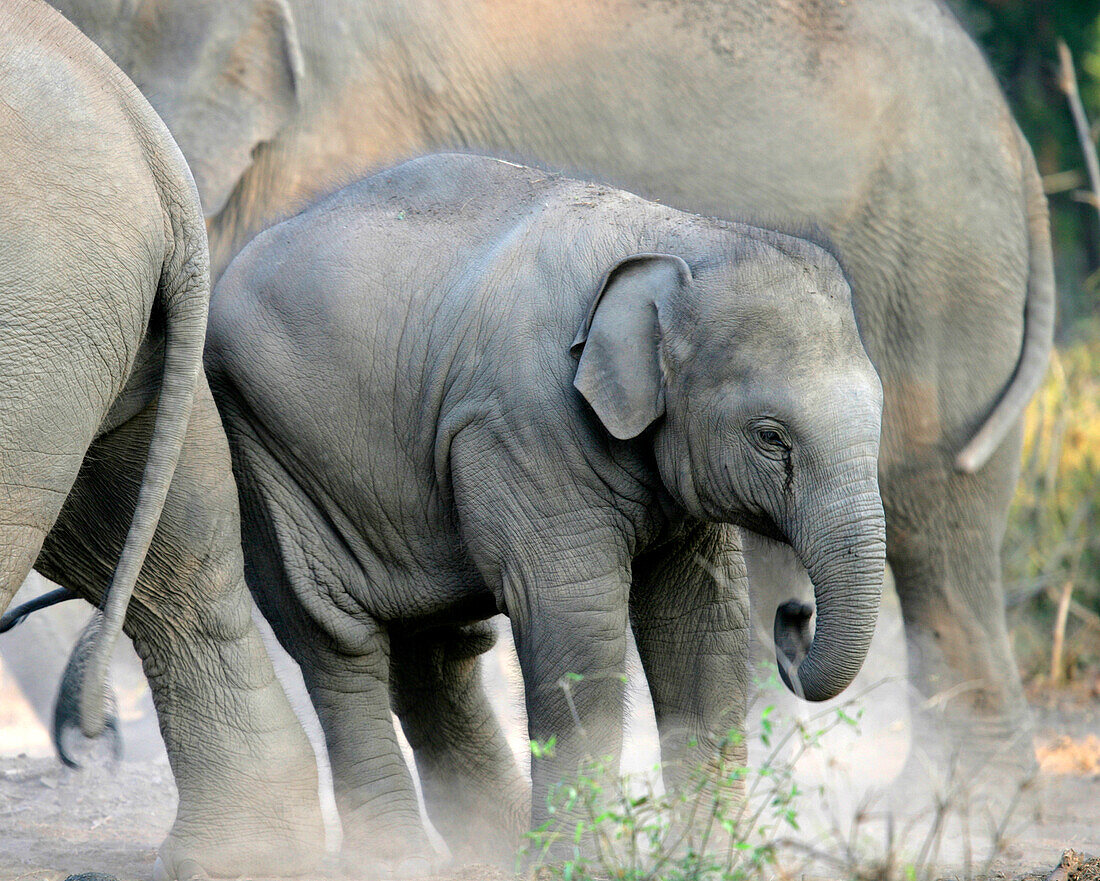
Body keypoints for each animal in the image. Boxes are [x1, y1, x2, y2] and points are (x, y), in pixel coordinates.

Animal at [49, 0, 1047, 769]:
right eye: (770, 436)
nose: (797, 623)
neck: (677, 241)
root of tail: (1012, 128)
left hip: (944, 273)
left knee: (937, 528)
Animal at [206, 149, 888, 866]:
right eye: (770, 436)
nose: (795, 614)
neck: (677, 239)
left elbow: (700, 624)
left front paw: (700, 862)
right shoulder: (527, 423)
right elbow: (576, 617)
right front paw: (579, 866)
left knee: (437, 649)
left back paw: (489, 850)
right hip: (264, 447)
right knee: (336, 639)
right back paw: (400, 858)